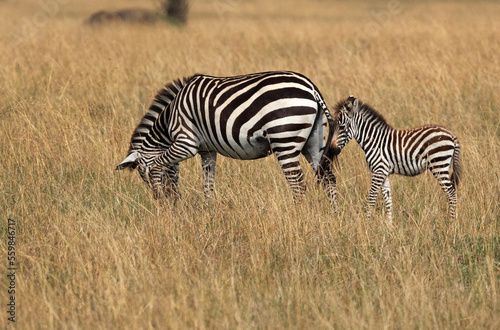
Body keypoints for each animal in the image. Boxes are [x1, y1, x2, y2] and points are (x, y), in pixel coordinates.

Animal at [115, 71, 338, 205]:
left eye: (144, 177)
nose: (165, 202)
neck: (170, 117)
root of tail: (311, 87)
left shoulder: (186, 144)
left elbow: (158, 162)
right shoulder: (207, 150)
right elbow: (207, 184)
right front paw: (208, 211)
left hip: (284, 139)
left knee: (298, 184)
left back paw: (296, 215)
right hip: (314, 142)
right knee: (328, 178)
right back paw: (333, 216)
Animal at [332, 94, 460, 222]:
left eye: (342, 127)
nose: (332, 149)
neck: (374, 141)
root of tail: (451, 135)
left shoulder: (378, 171)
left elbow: (371, 198)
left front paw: (366, 222)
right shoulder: (384, 173)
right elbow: (388, 200)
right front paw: (389, 224)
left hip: (439, 164)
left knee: (451, 193)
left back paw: (452, 222)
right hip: (444, 165)